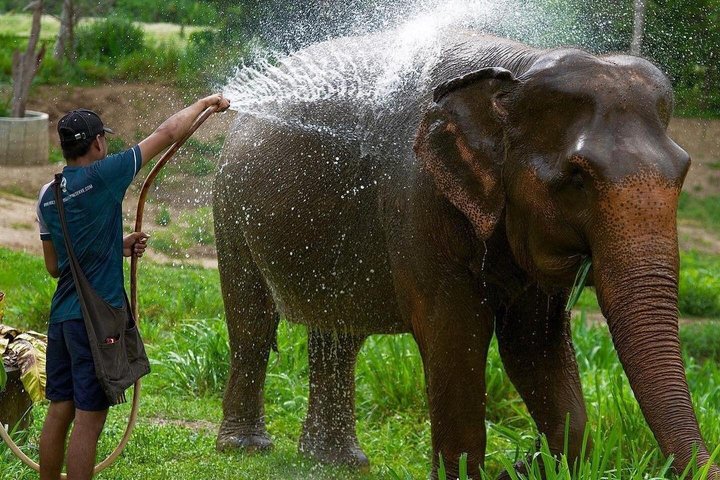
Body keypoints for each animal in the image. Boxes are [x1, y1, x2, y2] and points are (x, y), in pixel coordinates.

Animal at [213, 29, 719, 478]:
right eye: (577, 177)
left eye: (684, 170)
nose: (523, 459)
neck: (518, 67)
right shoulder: (417, 194)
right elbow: (455, 333)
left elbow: (533, 343)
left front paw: (541, 466)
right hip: (230, 205)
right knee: (253, 322)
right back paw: (245, 448)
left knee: (338, 334)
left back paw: (335, 463)